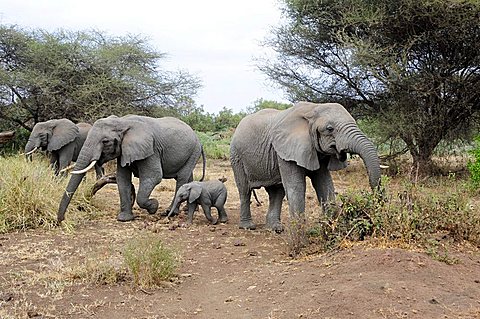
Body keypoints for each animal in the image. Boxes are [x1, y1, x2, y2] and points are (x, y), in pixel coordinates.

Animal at [57, 114, 205, 222]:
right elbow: (123, 179)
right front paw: (124, 219)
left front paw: (154, 206)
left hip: (193, 150)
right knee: (188, 177)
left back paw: (169, 212)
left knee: (181, 178)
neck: (122, 122)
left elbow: (153, 177)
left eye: (105, 142)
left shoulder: (151, 150)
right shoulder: (124, 151)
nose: (61, 220)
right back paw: (187, 210)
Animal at [231, 102, 380, 232]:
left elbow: (324, 184)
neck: (312, 109)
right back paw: (248, 227)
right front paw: (300, 238)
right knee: (245, 190)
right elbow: (296, 186)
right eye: (329, 129)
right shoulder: (286, 150)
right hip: (236, 156)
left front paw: (332, 229)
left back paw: (275, 229)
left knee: (277, 192)